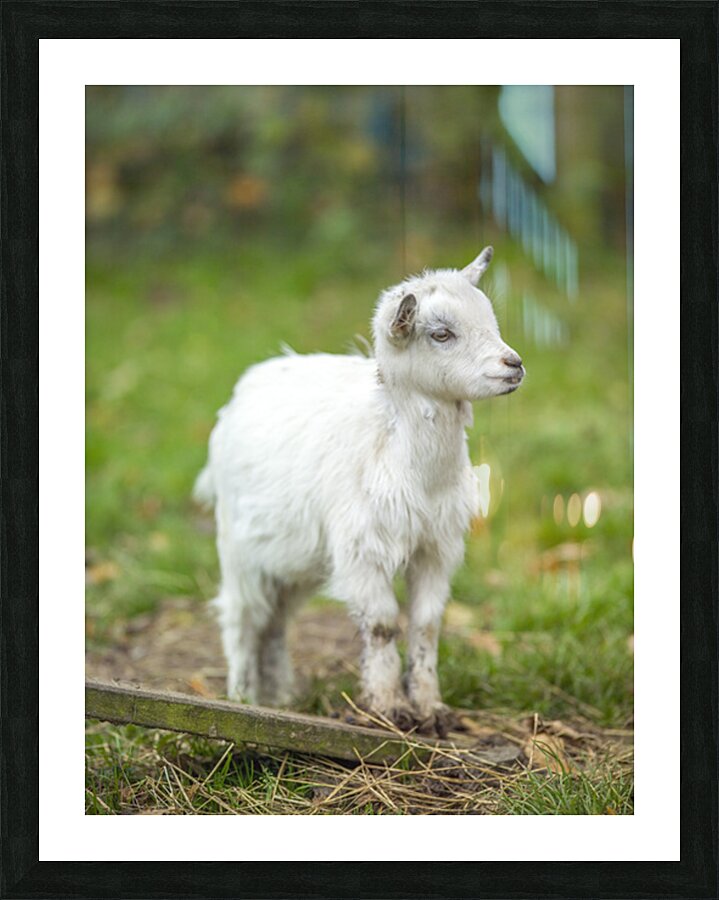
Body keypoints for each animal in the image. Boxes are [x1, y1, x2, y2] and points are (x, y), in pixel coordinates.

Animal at [195, 248, 524, 735]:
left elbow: (426, 625)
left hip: (294, 558)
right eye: (441, 334)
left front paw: (431, 709)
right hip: (238, 546)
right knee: (241, 616)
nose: (514, 365)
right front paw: (387, 708)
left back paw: (280, 697)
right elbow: (383, 625)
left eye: (491, 319)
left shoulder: (436, 546)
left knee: (275, 621)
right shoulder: (362, 550)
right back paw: (242, 696)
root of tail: (248, 384)